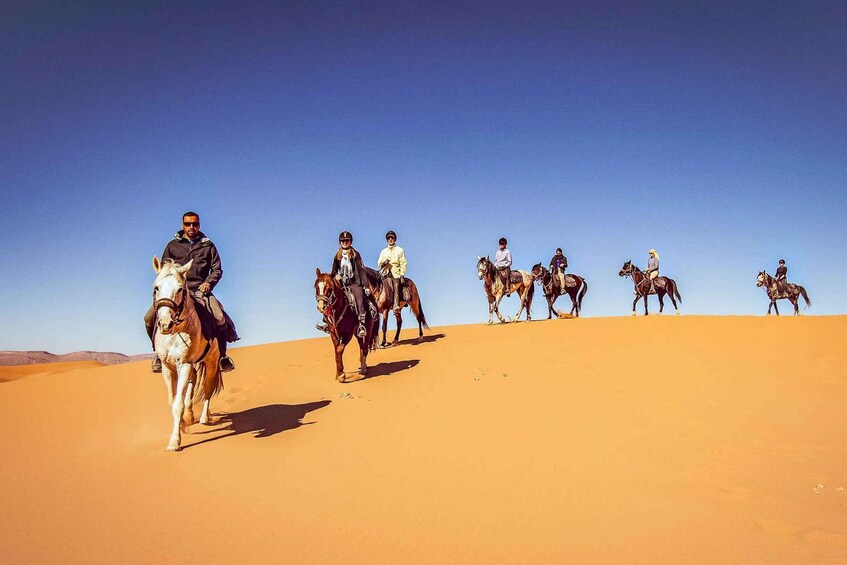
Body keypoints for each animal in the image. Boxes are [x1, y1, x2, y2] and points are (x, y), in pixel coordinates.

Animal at [152, 258, 224, 452]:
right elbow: (173, 401)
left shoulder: (183, 363)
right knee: (193, 382)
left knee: (208, 387)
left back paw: (205, 417)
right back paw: (191, 415)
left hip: (212, 361)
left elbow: (178, 404)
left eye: (180, 289)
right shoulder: (168, 368)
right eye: (156, 287)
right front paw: (184, 423)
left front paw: (175, 441)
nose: (165, 324)